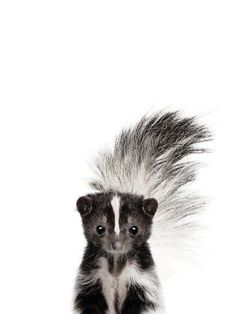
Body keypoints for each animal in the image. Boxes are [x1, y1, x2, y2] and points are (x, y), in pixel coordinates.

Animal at [73, 111, 210, 314]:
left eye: (134, 229)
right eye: (100, 228)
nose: (117, 245)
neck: (116, 265)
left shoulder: (140, 281)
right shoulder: (93, 279)